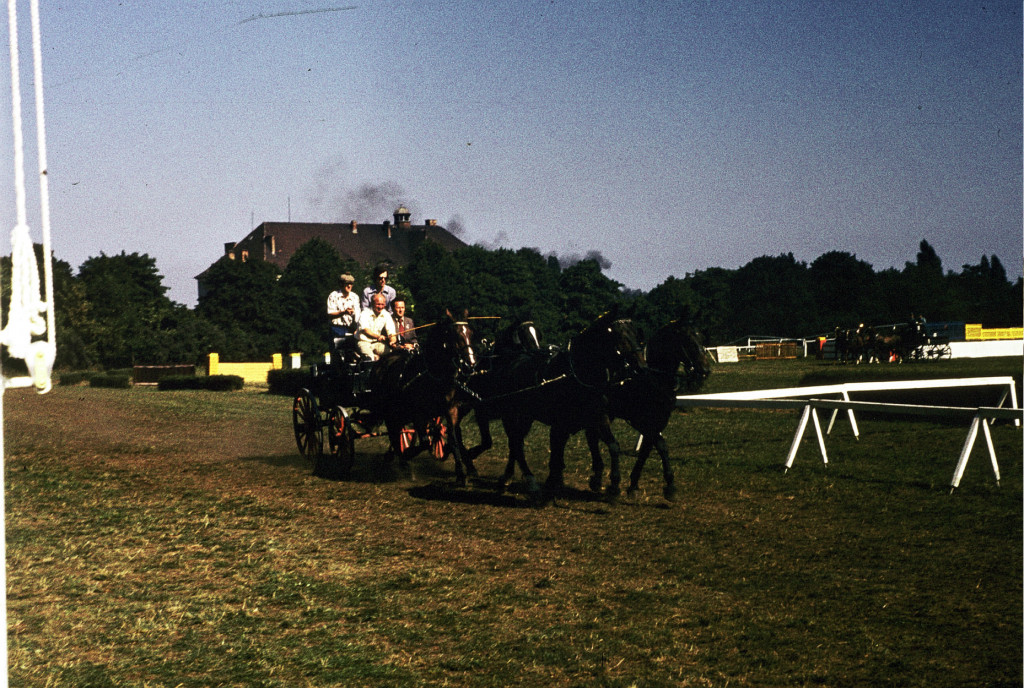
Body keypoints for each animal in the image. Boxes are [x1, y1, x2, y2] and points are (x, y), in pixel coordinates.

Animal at [368, 315, 479, 487]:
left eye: (471, 333)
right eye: (455, 335)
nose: (471, 364)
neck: (433, 375)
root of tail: (380, 364)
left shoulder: (450, 410)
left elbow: (453, 438)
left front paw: (461, 473)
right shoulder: (419, 414)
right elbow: (425, 442)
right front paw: (408, 454)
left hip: (399, 412)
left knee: (397, 433)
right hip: (390, 412)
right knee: (394, 434)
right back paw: (402, 461)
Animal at [477, 311, 638, 499]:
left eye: (635, 333)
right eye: (618, 336)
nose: (637, 366)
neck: (574, 374)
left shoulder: (596, 417)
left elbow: (611, 445)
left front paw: (612, 483)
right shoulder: (561, 423)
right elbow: (557, 450)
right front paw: (553, 481)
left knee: (516, 443)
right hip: (514, 416)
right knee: (516, 444)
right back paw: (528, 482)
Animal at [585, 323, 712, 499]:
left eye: (702, 338)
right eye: (687, 341)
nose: (705, 370)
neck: (653, 379)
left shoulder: (658, 422)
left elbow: (650, 449)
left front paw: (634, 485)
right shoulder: (642, 421)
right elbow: (658, 446)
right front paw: (668, 486)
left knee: (593, 436)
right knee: (593, 437)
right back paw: (597, 480)